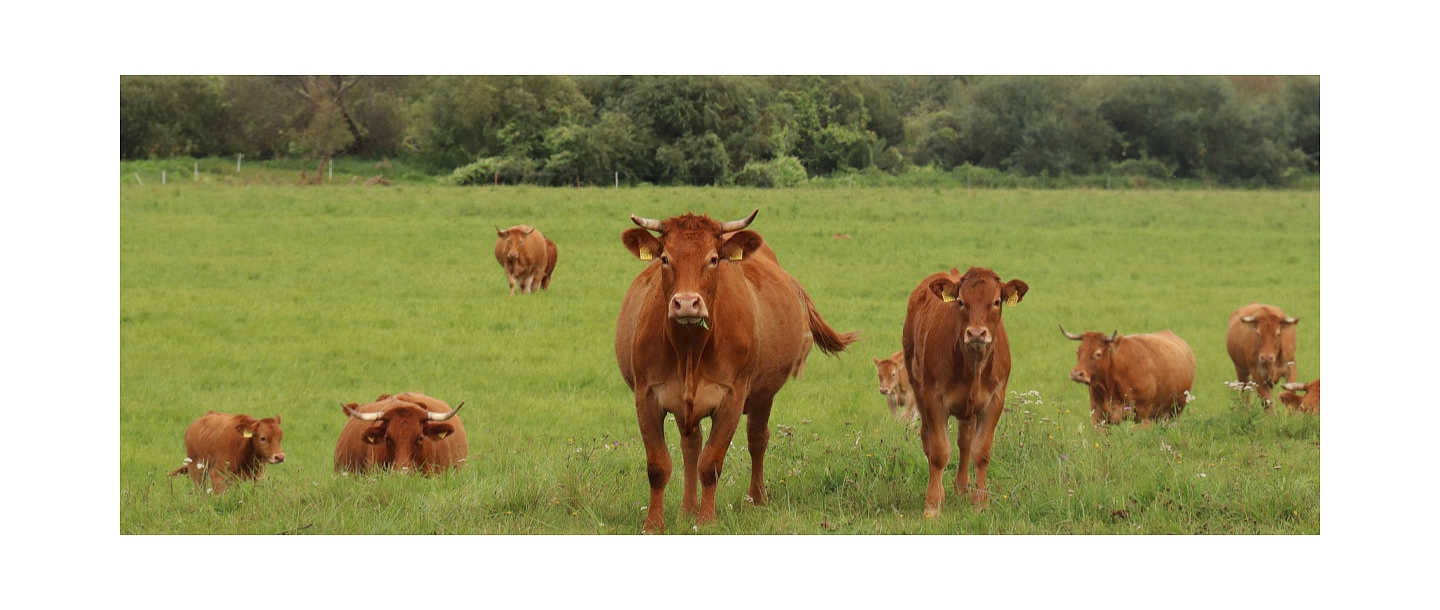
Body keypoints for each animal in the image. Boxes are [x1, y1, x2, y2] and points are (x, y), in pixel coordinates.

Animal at [615, 209, 859, 533]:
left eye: (713, 259)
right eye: (665, 258)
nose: (687, 303)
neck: (690, 349)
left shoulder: (731, 397)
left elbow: (711, 463)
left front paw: (707, 521)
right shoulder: (646, 396)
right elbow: (658, 466)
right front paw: (655, 524)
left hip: (763, 394)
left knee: (757, 438)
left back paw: (756, 499)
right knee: (691, 445)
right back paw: (687, 508)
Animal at [902, 266, 1028, 517]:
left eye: (996, 301)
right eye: (960, 301)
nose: (976, 333)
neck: (973, 367)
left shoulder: (995, 400)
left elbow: (981, 451)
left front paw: (981, 503)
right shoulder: (933, 398)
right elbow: (939, 451)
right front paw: (933, 506)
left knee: (965, 440)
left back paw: (962, 486)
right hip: (918, 388)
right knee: (928, 438)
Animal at [1060, 326, 1196, 426]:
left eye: (1098, 353)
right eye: (1078, 351)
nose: (1076, 373)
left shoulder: (1142, 416)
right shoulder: (1098, 417)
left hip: (1175, 412)